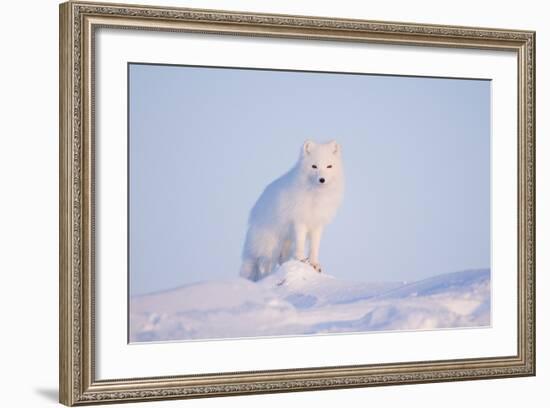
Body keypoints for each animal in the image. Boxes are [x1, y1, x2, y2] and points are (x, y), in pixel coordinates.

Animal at [242, 140, 344, 280]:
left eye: (329, 166)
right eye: (314, 166)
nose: (322, 179)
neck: (316, 197)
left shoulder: (317, 224)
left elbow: (314, 246)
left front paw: (314, 263)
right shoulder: (299, 221)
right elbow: (300, 242)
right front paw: (301, 259)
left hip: (284, 246)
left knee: (280, 260)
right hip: (270, 247)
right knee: (263, 266)